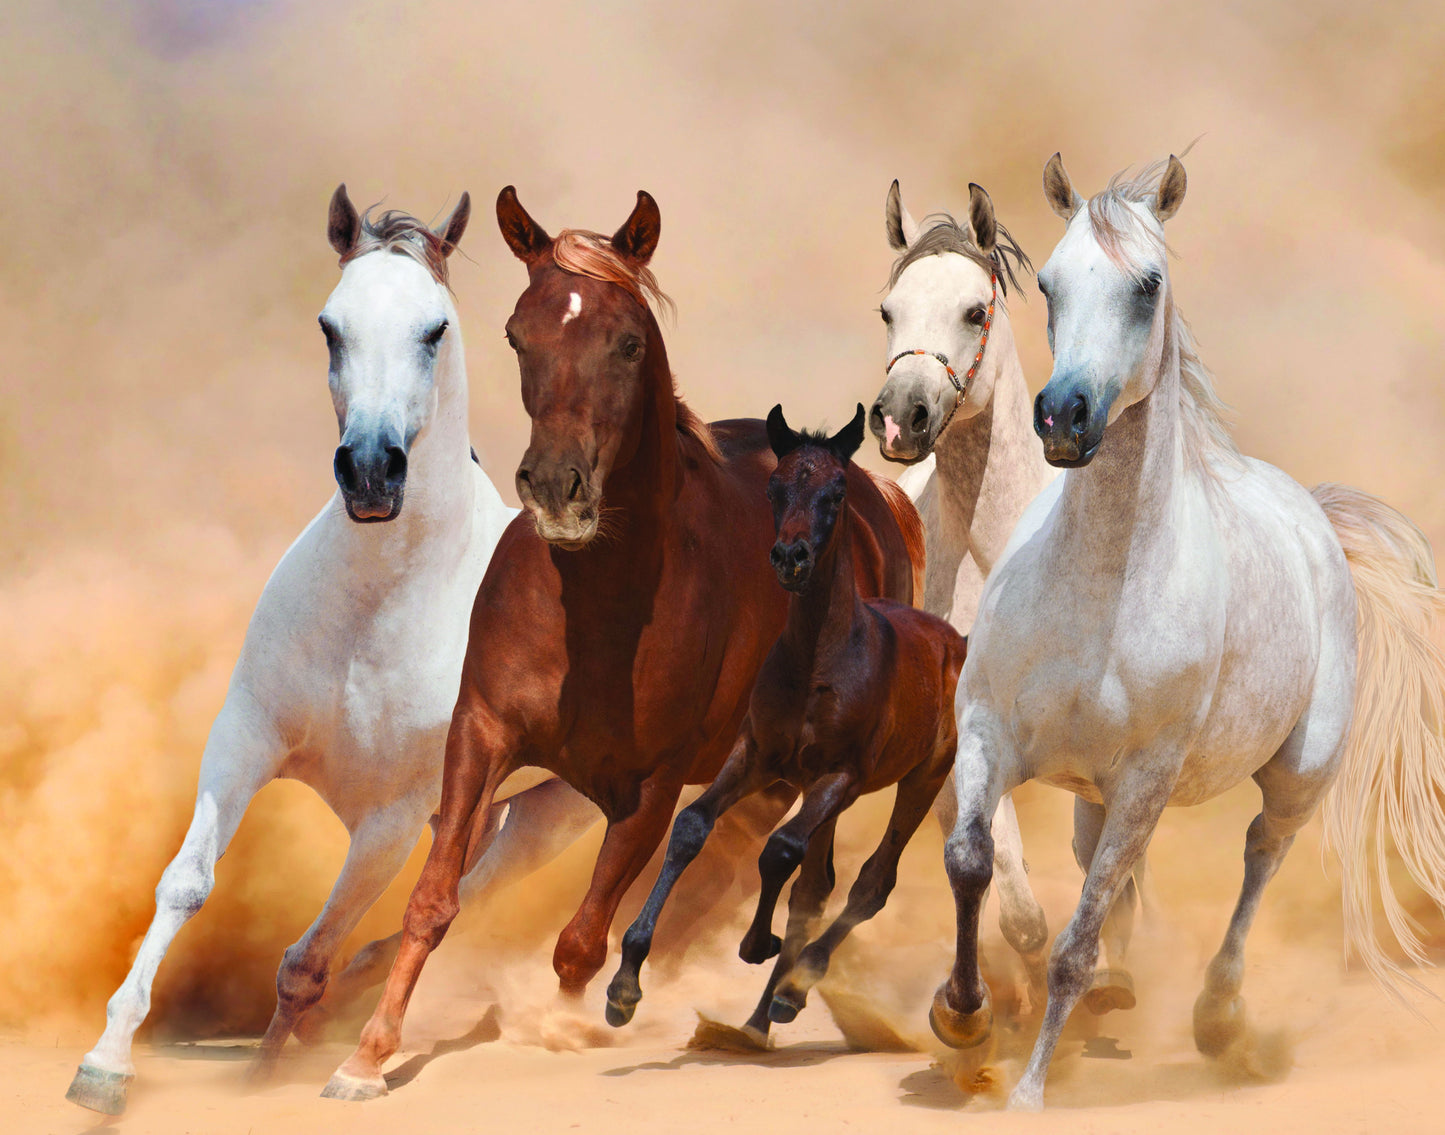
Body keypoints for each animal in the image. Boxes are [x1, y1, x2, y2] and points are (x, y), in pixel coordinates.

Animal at [65, 185, 601, 1116]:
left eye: (435, 329)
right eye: (329, 325)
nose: (372, 473)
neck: (374, 611)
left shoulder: (388, 819)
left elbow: (308, 957)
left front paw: (283, 1070)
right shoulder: (243, 739)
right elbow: (186, 883)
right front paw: (106, 1064)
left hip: (557, 815)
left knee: (454, 902)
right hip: (494, 809)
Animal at [322, 187, 924, 1101]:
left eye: (629, 341)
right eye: (517, 333)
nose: (556, 487)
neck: (597, 609)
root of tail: (874, 491)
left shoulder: (654, 784)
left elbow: (580, 940)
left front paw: (571, 1022)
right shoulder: (481, 735)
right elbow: (431, 900)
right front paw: (366, 1055)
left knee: (805, 875)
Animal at [604, 403, 966, 1045]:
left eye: (837, 489)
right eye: (775, 486)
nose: (790, 558)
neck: (817, 662)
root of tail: (953, 639)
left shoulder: (839, 776)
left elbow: (779, 849)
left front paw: (756, 943)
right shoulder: (758, 757)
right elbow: (692, 827)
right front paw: (624, 987)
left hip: (923, 778)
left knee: (870, 881)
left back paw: (794, 988)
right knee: (816, 884)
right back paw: (760, 1016)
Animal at [930, 153, 1445, 1111]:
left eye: (1147, 284)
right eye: (1046, 283)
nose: (1063, 416)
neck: (1098, 590)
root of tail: (1312, 513)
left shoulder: (1145, 780)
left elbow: (1072, 942)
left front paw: (1027, 1090)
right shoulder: (987, 731)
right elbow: (970, 860)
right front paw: (962, 1013)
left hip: (1294, 777)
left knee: (1259, 855)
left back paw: (1216, 1018)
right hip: (1093, 792)